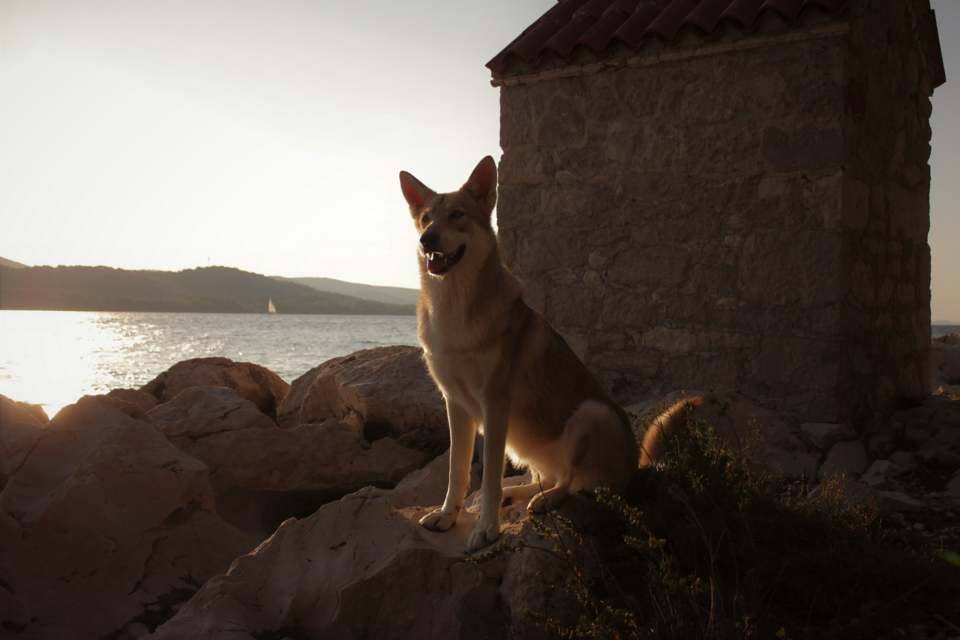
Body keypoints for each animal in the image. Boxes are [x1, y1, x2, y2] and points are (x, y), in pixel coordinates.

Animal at [399, 156, 683, 552]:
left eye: (457, 214)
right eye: (426, 219)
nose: (427, 240)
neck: (453, 307)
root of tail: (635, 470)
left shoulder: (495, 404)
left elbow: (488, 478)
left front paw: (486, 529)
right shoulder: (455, 403)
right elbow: (457, 471)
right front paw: (447, 516)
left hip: (590, 413)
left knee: (570, 482)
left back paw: (545, 501)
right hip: (526, 444)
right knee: (548, 478)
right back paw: (520, 495)